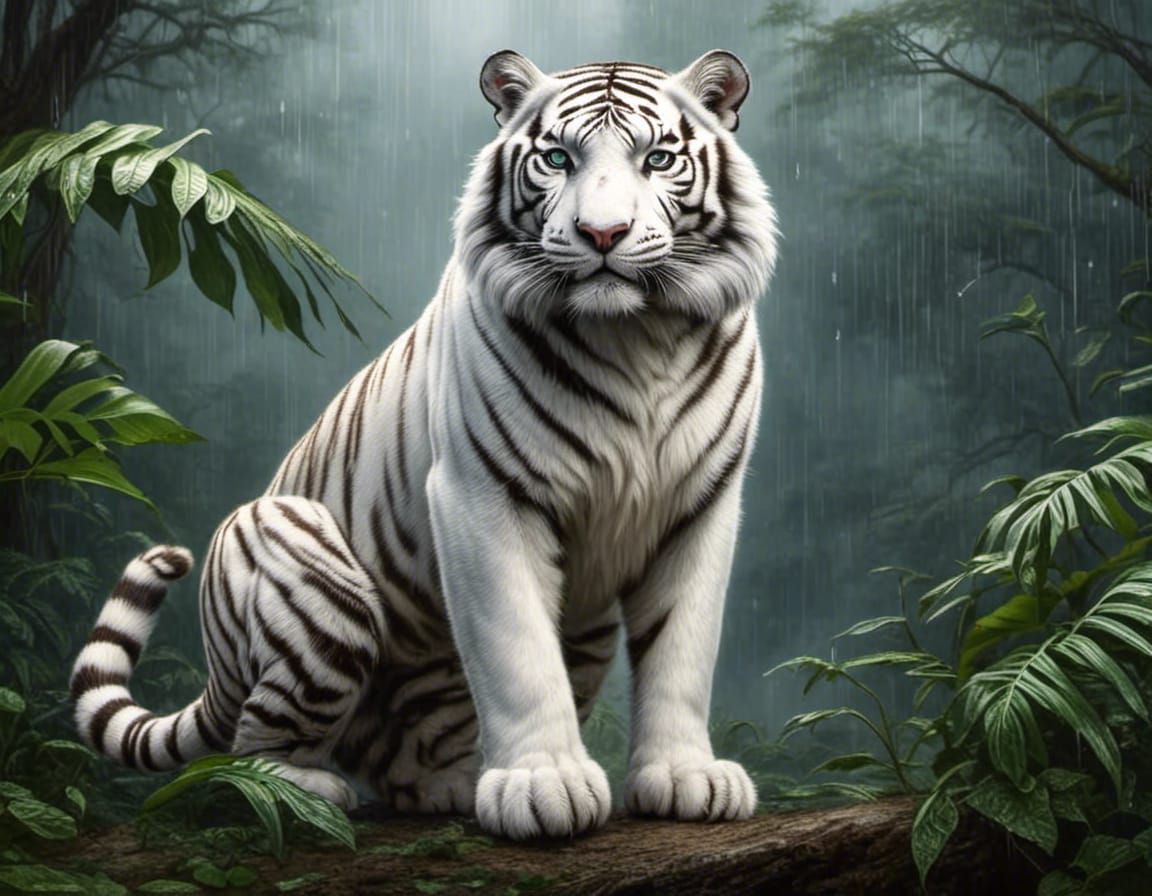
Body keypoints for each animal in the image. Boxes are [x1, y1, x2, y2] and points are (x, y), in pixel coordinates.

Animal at [71, 48, 778, 840]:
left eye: (657, 159)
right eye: (558, 159)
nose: (603, 234)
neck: (636, 337)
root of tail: (217, 665)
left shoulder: (701, 504)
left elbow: (681, 650)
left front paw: (685, 777)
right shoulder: (483, 492)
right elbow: (517, 649)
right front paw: (544, 784)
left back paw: (450, 784)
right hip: (309, 570)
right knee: (248, 745)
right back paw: (300, 790)